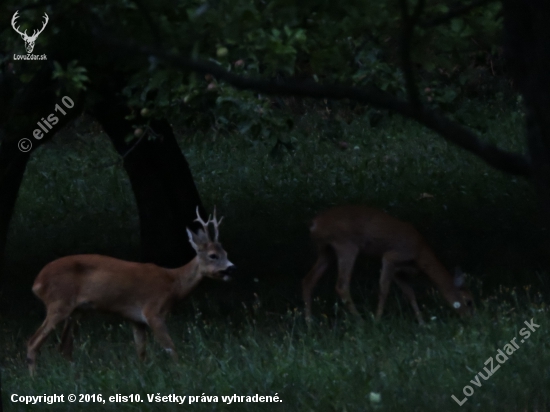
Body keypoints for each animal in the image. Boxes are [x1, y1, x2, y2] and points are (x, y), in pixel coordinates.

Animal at [26, 207, 235, 376]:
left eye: (226, 253)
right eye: (213, 255)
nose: (232, 268)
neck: (174, 283)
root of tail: (37, 283)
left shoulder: (136, 319)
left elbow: (141, 351)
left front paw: (143, 374)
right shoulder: (153, 311)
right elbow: (170, 348)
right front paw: (182, 371)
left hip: (77, 311)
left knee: (64, 346)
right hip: (59, 303)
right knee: (33, 342)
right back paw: (34, 378)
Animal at [302, 205, 474, 324]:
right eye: (469, 301)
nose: (471, 318)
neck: (420, 255)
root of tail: (314, 223)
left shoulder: (399, 271)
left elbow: (410, 293)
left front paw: (422, 323)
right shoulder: (391, 256)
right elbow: (384, 288)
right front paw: (377, 320)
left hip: (325, 251)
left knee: (308, 280)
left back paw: (309, 324)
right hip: (346, 245)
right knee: (341, 285)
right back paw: (361, 321)